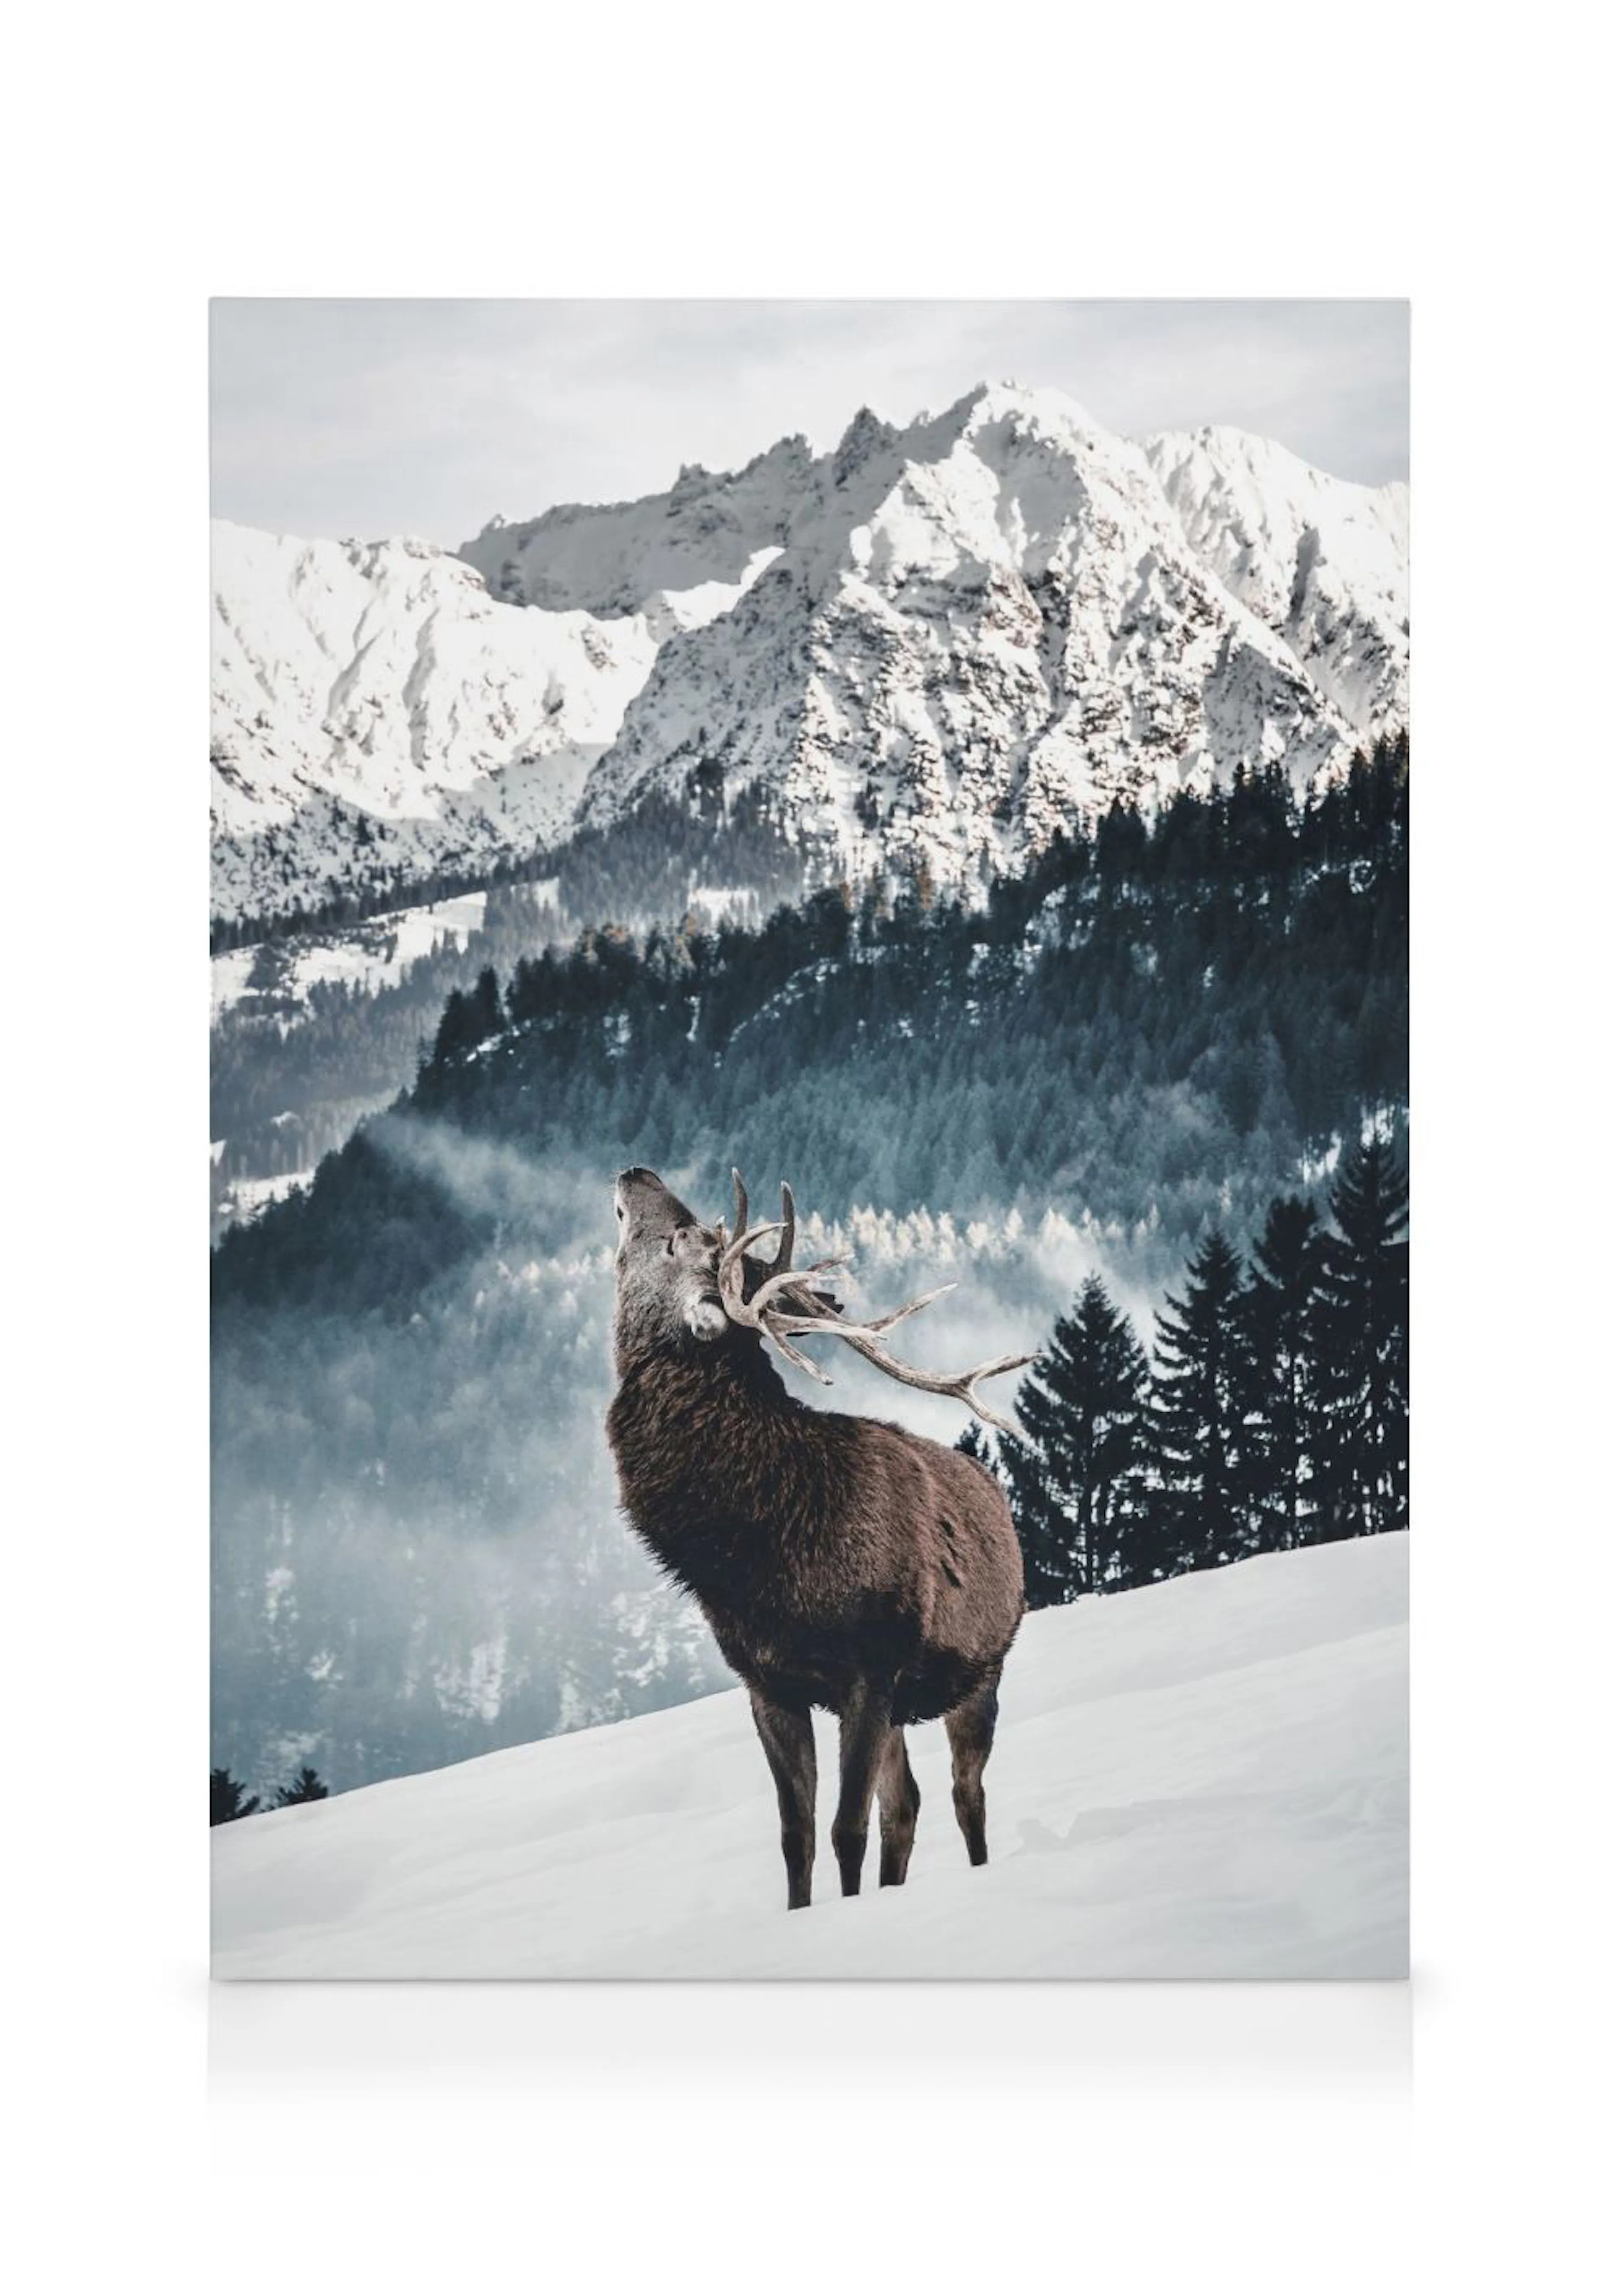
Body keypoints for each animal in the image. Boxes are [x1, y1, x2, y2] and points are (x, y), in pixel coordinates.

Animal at [606, 1165, 1033, 1910]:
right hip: (902, 1706)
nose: (637, 1173)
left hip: (981, 1672)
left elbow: (845, 1829)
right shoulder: (767, 1682)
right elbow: (796, 1835)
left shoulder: (870, 1669)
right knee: (908, 1804)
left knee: (965, 1794)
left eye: (683, 1237)